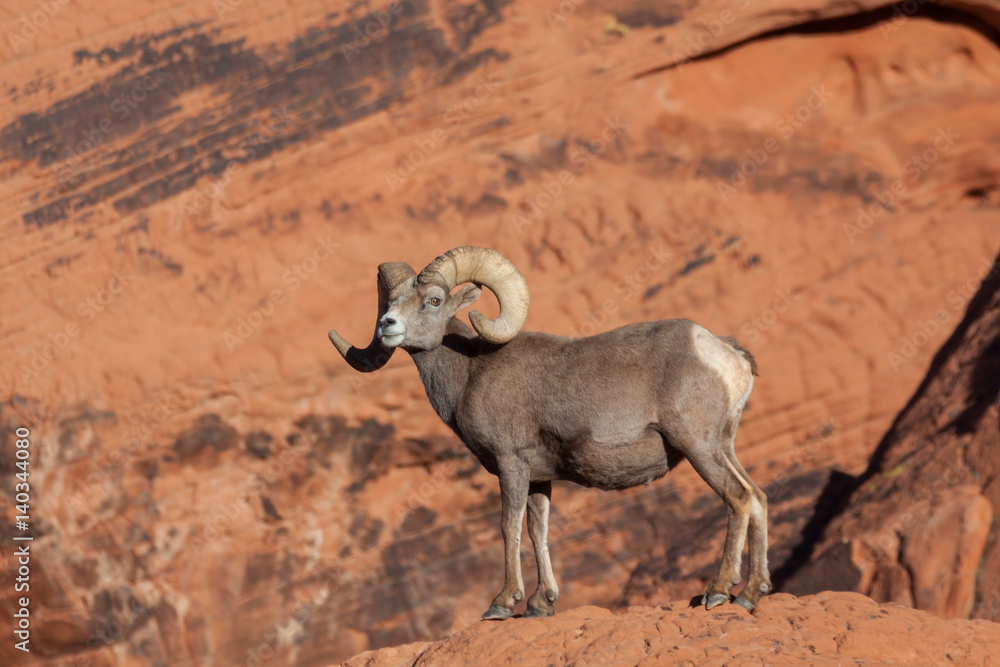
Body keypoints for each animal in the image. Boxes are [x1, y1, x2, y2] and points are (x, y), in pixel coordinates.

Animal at [329, 246, 770, 619]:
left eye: (433, 301)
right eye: (391, 303)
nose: (387, 325)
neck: (470, 370)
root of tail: (724, 352)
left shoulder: (511, 464)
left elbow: (508, 527)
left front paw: (503, 603)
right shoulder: (540, 479)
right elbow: (537, 531)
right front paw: (542, 604)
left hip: (698, 446)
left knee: (738, 497)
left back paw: (717, 592)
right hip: (722, 446)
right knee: (759, 498)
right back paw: (750, 596)